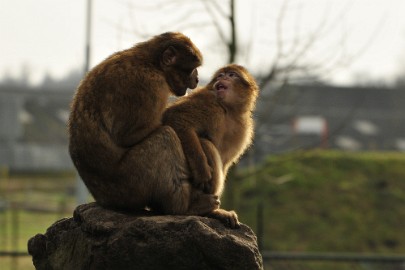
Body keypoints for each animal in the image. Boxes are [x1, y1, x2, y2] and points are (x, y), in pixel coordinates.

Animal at [68, 32, 218, 216]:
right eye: (191, 68)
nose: (196, 79)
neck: (152, 63)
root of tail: (104, 199)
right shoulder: (150, 84)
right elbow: (128, 136)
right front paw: (199, 163)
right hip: (129, 184)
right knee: (165, 136)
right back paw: (183, 207)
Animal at [163, 63, 258, 228]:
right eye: (220, 75)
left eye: (232, 75)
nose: (223, 78)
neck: (228, 110)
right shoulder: (208, 102)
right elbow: (177, 117)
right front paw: (201, 169)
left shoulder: (243, 128)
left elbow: (225, 162)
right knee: (206, 143)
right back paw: (199, 208)